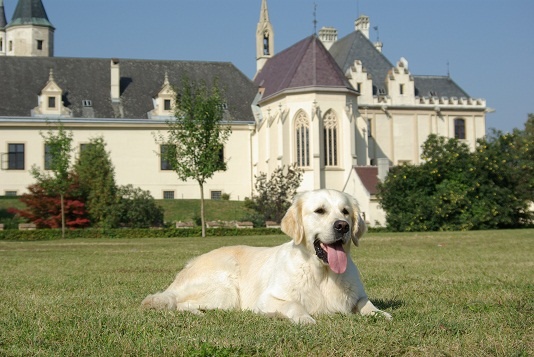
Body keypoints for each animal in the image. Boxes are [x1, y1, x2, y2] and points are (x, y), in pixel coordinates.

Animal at [141, 189, 394, 322]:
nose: (343, 226)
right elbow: (294, 305)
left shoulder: (358, 296)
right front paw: (305, 319)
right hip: (224, 291)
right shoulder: (268, 298)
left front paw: (382, 314)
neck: (321, 273)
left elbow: (366, 304)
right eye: (320, 211)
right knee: (178, 303)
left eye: (345, 212)